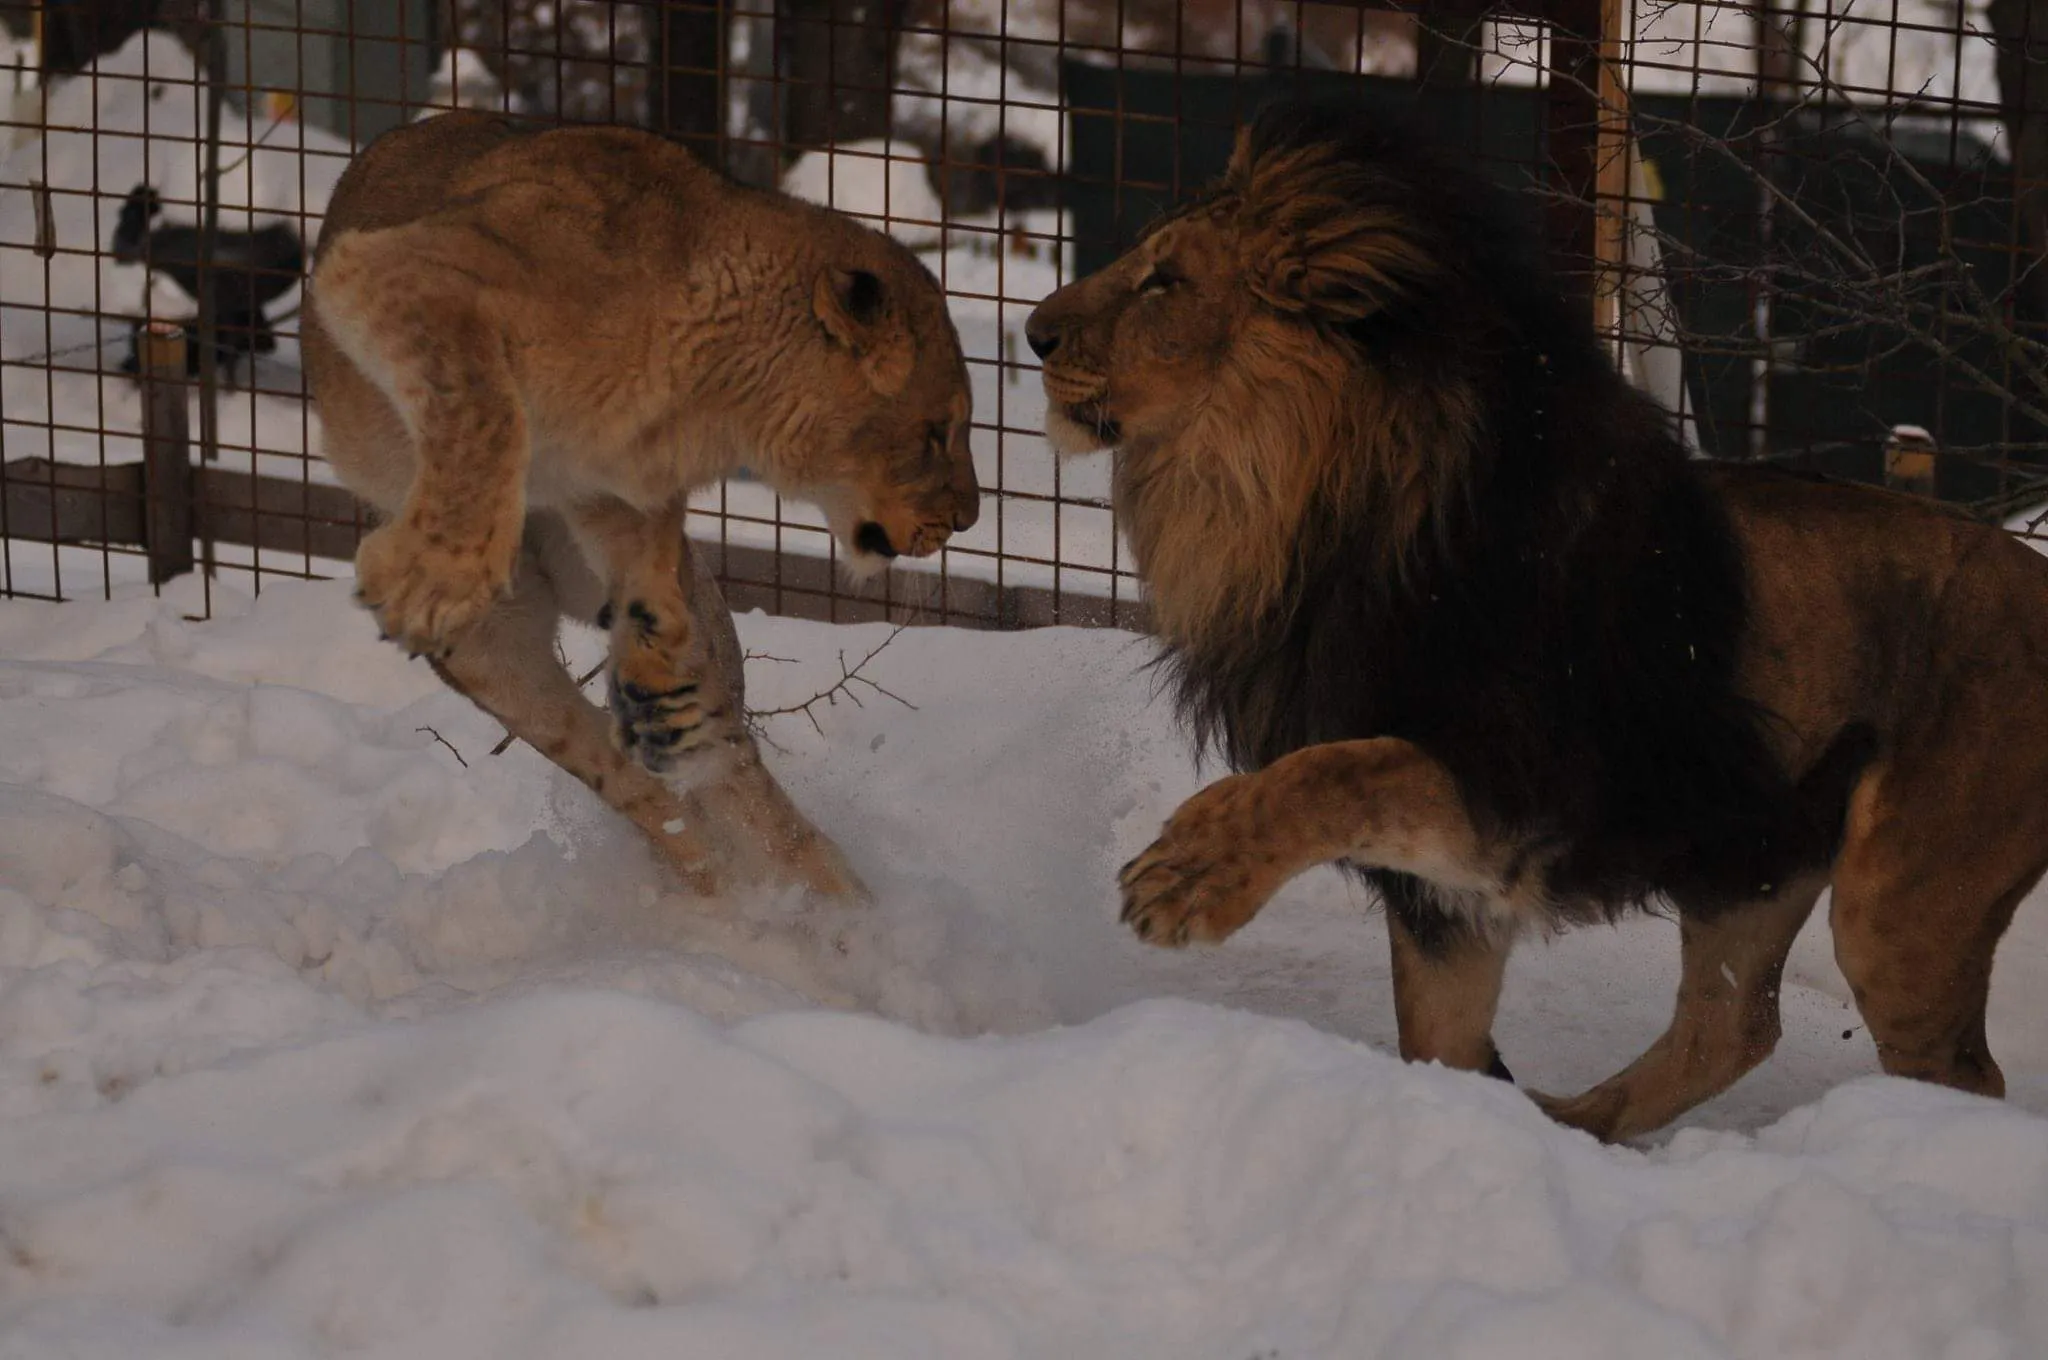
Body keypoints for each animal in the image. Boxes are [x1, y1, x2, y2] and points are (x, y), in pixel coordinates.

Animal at [303, 111, 979, 902]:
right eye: (937, 433)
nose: (968, 519)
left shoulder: (619, 480)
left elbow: (648, 552)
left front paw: (656, 667)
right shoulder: (399, 270)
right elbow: (485, 408)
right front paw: (431, 575)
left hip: (682, 630)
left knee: (737, 778)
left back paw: (823, 904)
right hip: (495, 654)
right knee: (626, 782)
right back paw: (723, 888)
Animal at [1026, 100, 2048, 1141]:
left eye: (1166, 280)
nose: (1032, 334)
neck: (1288, 506)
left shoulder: (1526, 786)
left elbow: (1337, 770)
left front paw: (1188, 877)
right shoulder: (1448, 892)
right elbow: (1436, 1026)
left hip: (1900, 900)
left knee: (1959, 1076)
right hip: (1755, 852)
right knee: (1731, 1025)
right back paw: (1571, 1122)